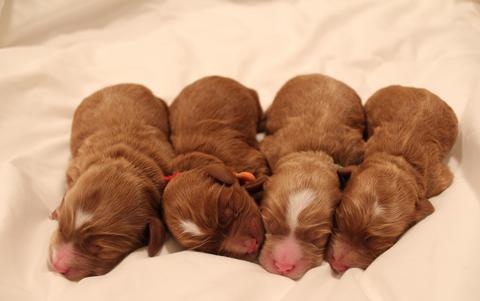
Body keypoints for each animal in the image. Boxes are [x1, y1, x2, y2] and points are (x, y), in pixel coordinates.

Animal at [47, 83, 173, 280]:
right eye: (60, 226)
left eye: (100, 249)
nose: (57, 265)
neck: (125, 160)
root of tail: (120, 84)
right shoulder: (75, 166)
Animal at [258, 73, 364, 278]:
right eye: (268, 224)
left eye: (319, 238)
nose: (283, 267)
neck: (312, 152)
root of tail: (323, 75)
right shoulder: (270, 146)